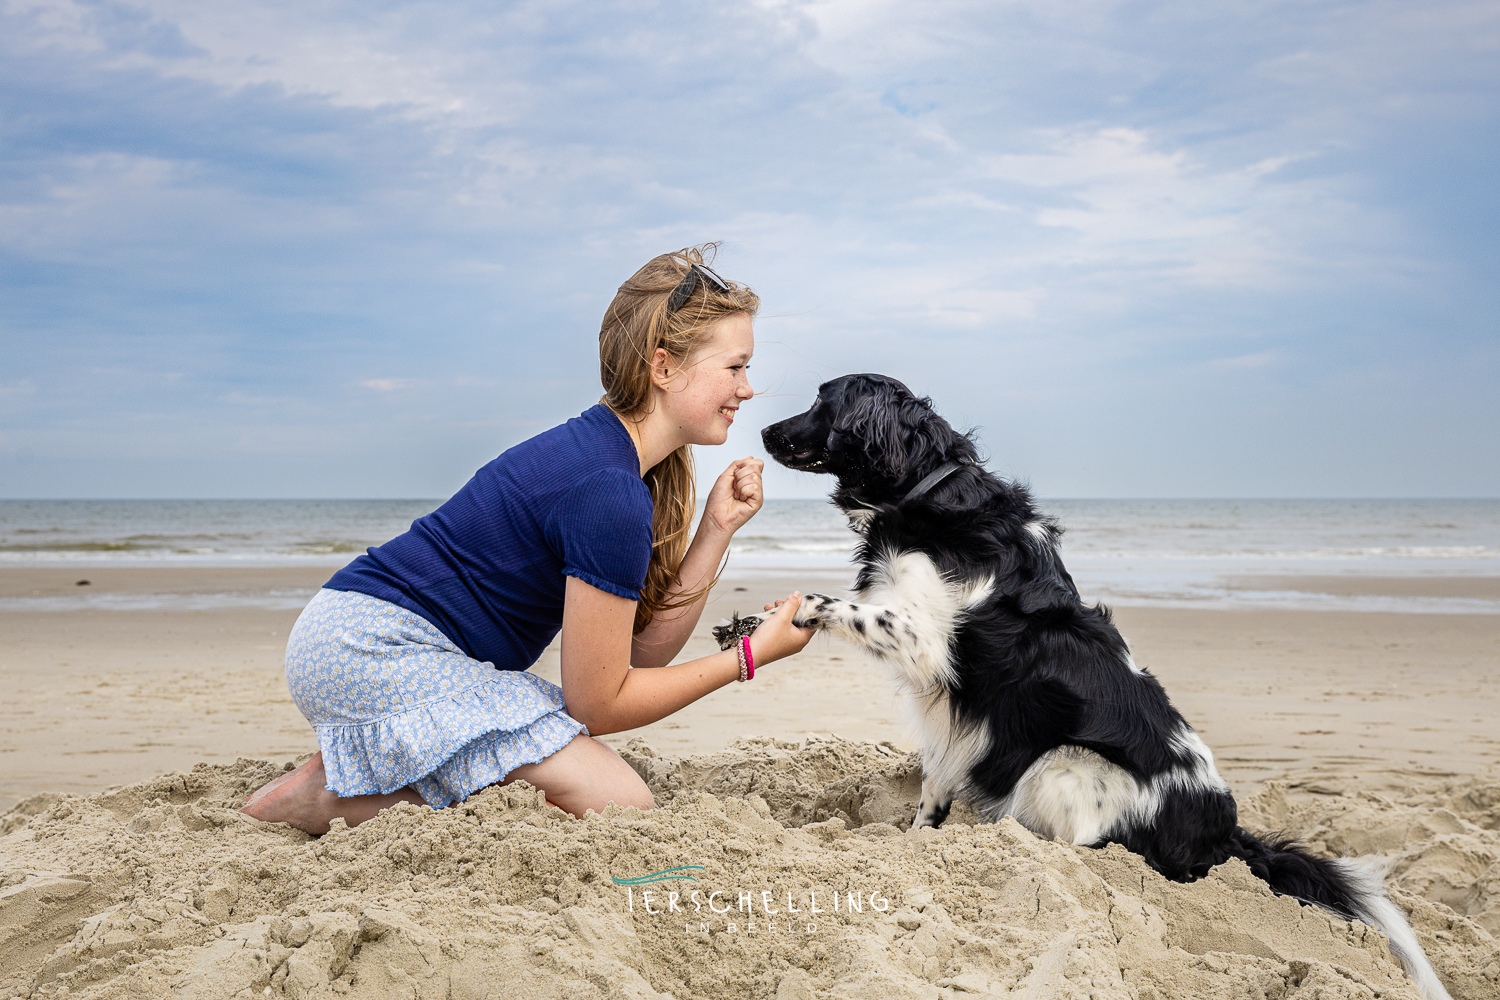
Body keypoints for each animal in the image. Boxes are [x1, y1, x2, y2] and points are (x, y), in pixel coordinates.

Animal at [756, 373, 1446, 1000]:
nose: (761, 430)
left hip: (1062, 763)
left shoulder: (924, 640)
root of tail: (1223, 832)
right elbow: (934, 787)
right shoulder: (952, 712)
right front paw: (915, 842)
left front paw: (785, 613)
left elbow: (836, 606)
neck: (929, 487)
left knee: (1087, 849)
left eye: (820, 400)